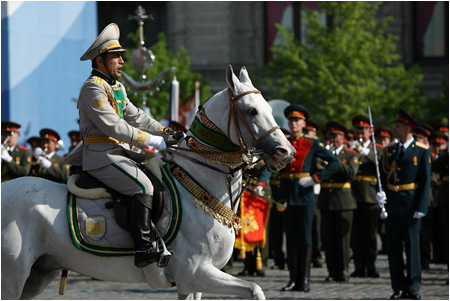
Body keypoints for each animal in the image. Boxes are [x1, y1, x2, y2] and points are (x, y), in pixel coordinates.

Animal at [2, 64, 296, 298]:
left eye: (269, 108)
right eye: (251, 111)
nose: (287, 152)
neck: (198, 188)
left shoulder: (192, 283)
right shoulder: (195, 272)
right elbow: (255, 290)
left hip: (37, 275)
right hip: (13, 277)